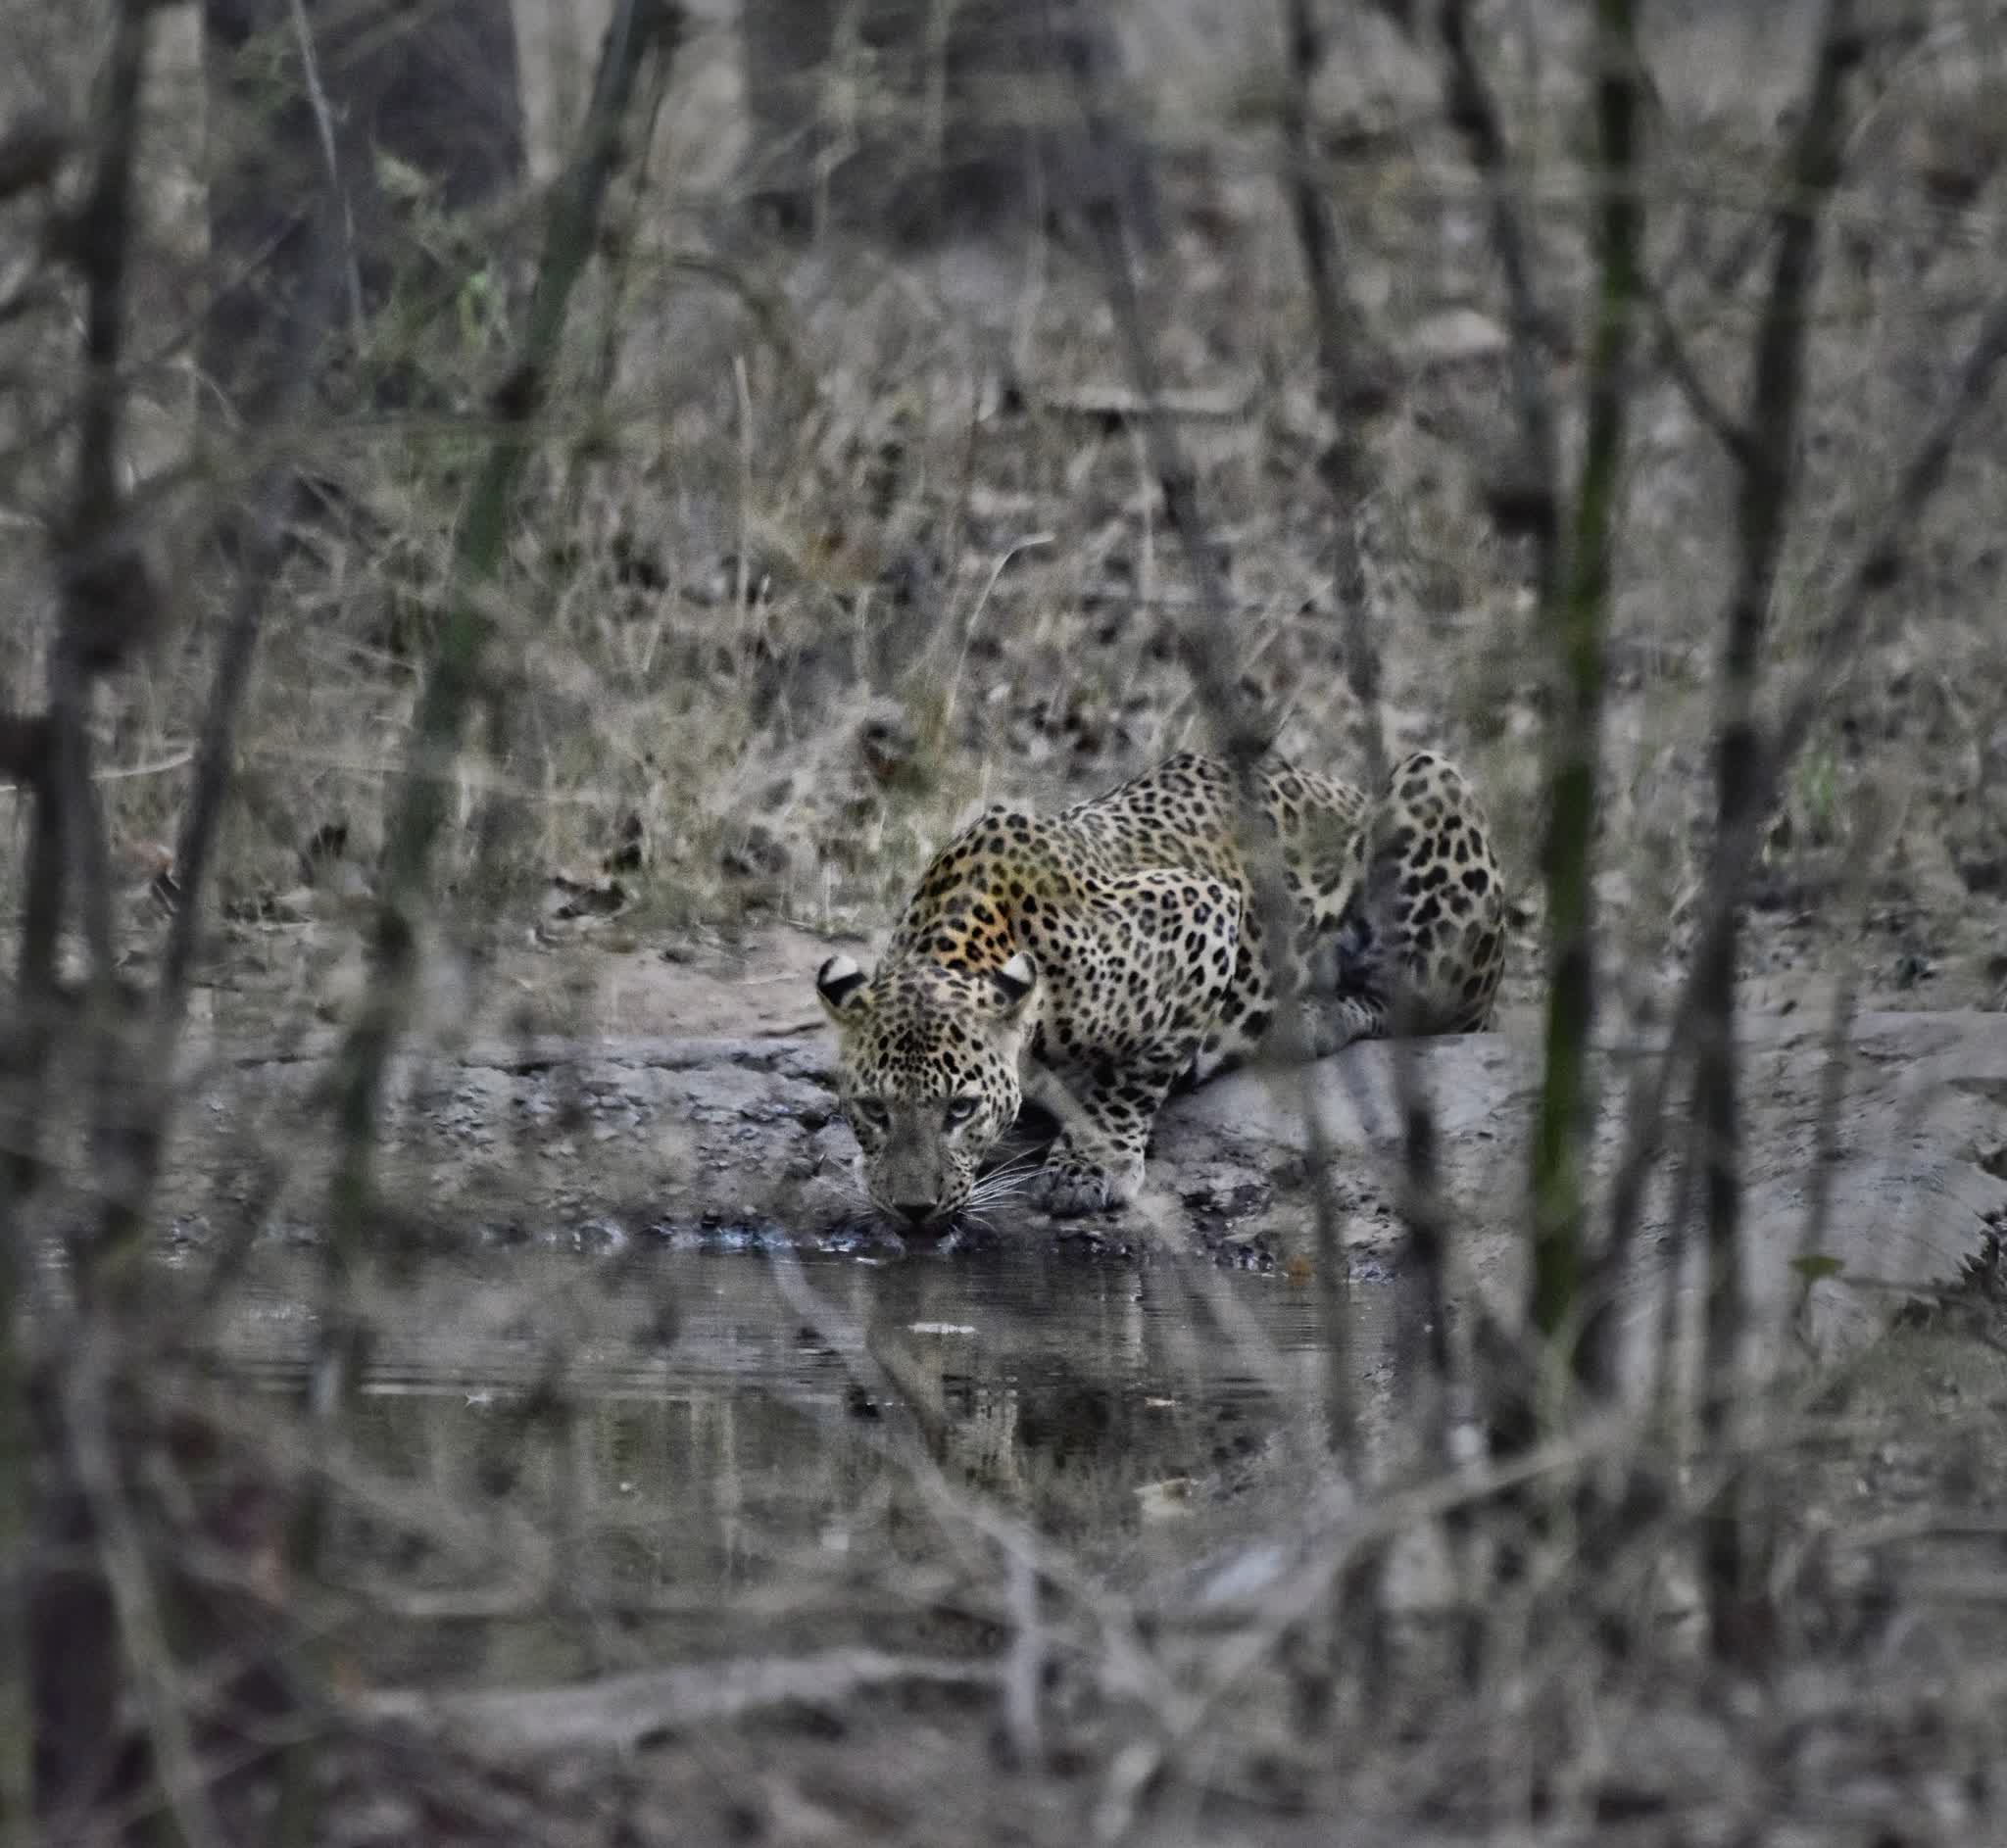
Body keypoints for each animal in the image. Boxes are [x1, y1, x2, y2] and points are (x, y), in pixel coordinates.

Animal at [815, 747, 1506, 1231]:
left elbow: (1132, 1077)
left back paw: (1315, 1018)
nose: (913, 1209)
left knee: (1419, 1005)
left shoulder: (1204, 911)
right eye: (874, 1109)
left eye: (960, 1110)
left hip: (1430, 779)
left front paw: (1090, 1166)